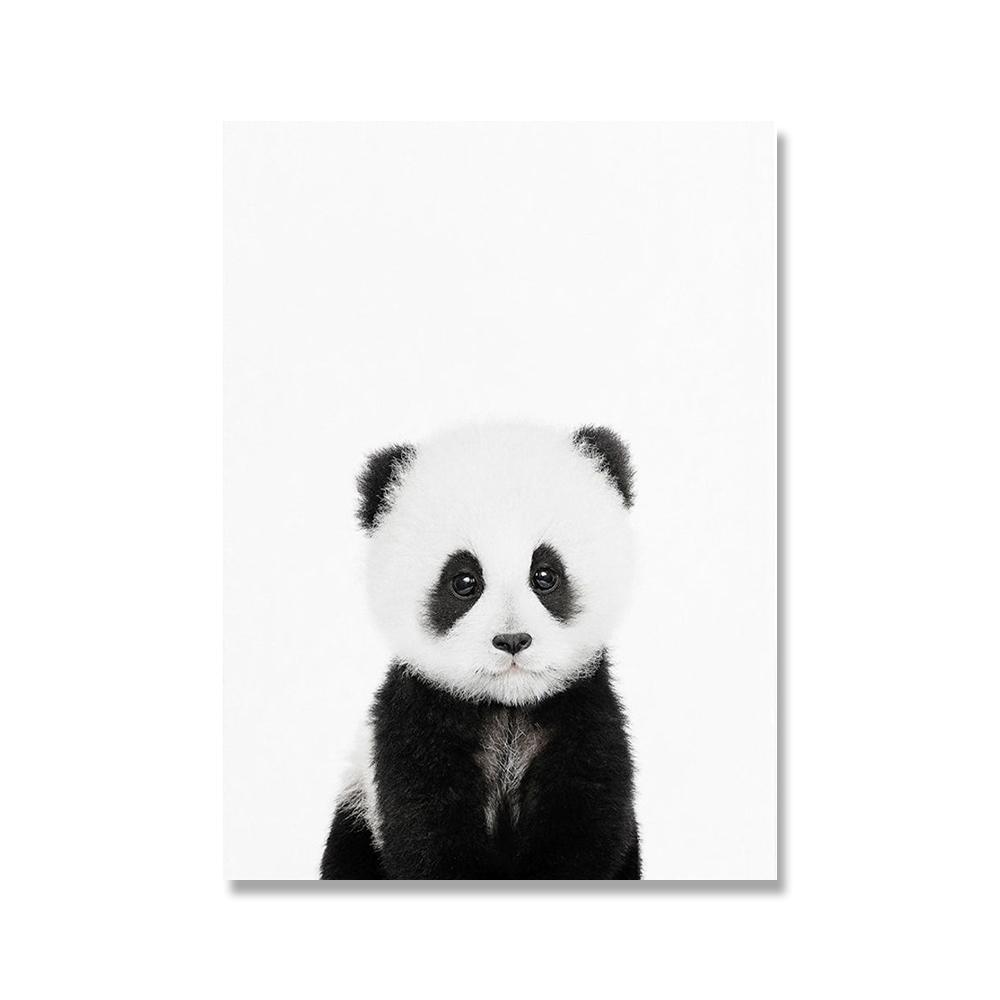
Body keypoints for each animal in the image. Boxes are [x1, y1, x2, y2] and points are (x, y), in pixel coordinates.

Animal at [320, 423, 640, 879]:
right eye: (464, 581)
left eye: (545, 575)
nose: (512, 641)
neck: (507, 706)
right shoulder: (415, 721)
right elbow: (426, 829)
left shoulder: (584, 714)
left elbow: (584, 825)